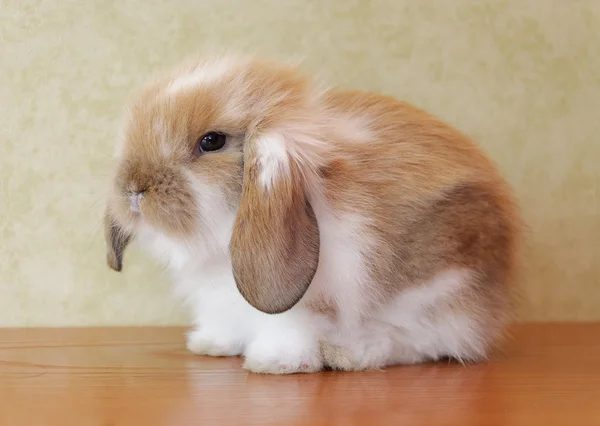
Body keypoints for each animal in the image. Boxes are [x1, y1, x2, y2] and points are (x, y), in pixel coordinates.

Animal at [105, 55, 524, 374]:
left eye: (211, 141)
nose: (134, 189)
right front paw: (211, 345)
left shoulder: (310, 300)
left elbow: (293, 327)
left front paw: (274, 363)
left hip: (439, 285)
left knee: (428, 341)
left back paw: (350, 354)